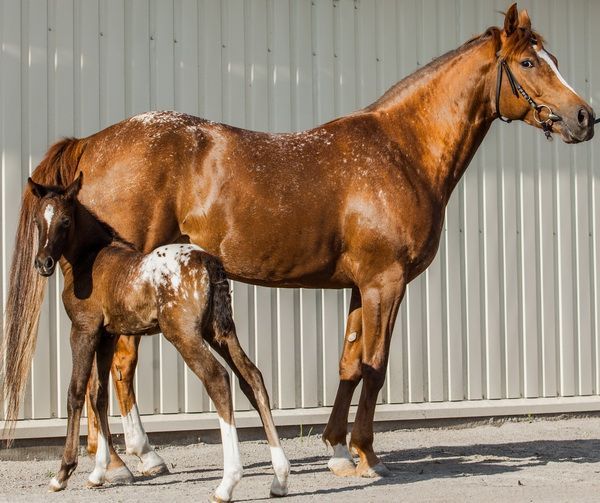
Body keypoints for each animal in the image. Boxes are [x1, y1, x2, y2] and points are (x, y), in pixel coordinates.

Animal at [27, 175, 290, 502]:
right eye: (37, 221)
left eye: (65, 221)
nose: (44, 263)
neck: (91, 260)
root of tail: (209, 261)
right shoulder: (107, 335)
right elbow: (99, 395)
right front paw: (99, 473)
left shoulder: (83, 330)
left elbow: (75, 393)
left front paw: (62, 474)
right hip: (220, 332)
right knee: (252, 377)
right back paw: (280, 478)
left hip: (184, 335)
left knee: (218, 379)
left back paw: (227, 484)